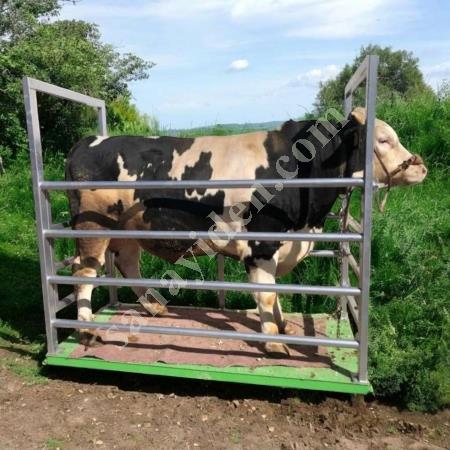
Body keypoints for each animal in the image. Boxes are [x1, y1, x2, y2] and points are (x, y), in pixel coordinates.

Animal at [65, 107, 428, 356]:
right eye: (383, 140)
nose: (421, 167)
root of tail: (86, 142)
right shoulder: (261, 243)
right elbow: (266, 293)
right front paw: (273, 342)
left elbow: (275, 293)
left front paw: (280, 326)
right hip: (93, 226)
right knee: (85, 272)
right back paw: (86, 331)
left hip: (129, 228)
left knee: (127, 263)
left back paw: (154, 308)